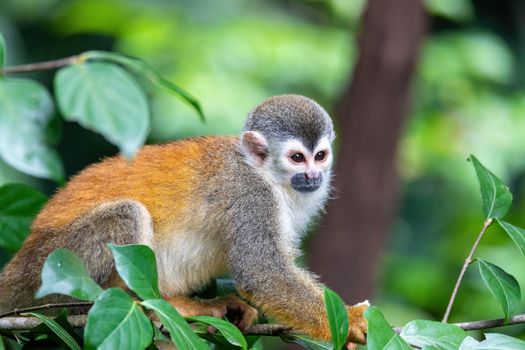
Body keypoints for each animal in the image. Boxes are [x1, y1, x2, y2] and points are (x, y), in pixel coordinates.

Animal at [0, 95, 366, 344]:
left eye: (320, 156)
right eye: (297, 158)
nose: (313, 176)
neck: (266, 175)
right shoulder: (252, 196)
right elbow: (263, 273)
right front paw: (351, 321)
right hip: (48, 267)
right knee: (127, 214)